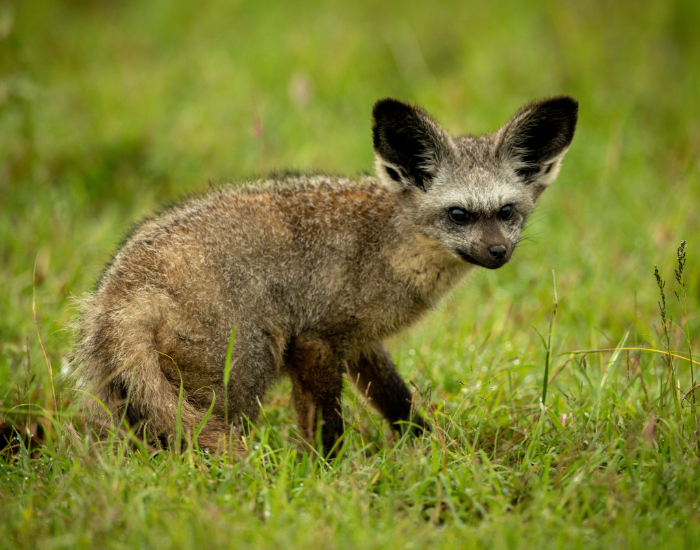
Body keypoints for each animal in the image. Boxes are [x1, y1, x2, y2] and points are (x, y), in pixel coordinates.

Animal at [70, 96, 578, 456]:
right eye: (459, 215)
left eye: (507, 212)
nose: (498, 252)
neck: (387, 246)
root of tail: (122, 293)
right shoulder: (314, 340)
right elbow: (328, 426)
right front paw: (327, 478)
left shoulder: (357, 342)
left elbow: (398, 400)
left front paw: (429, 446)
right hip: (241, 380)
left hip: (141, 397)